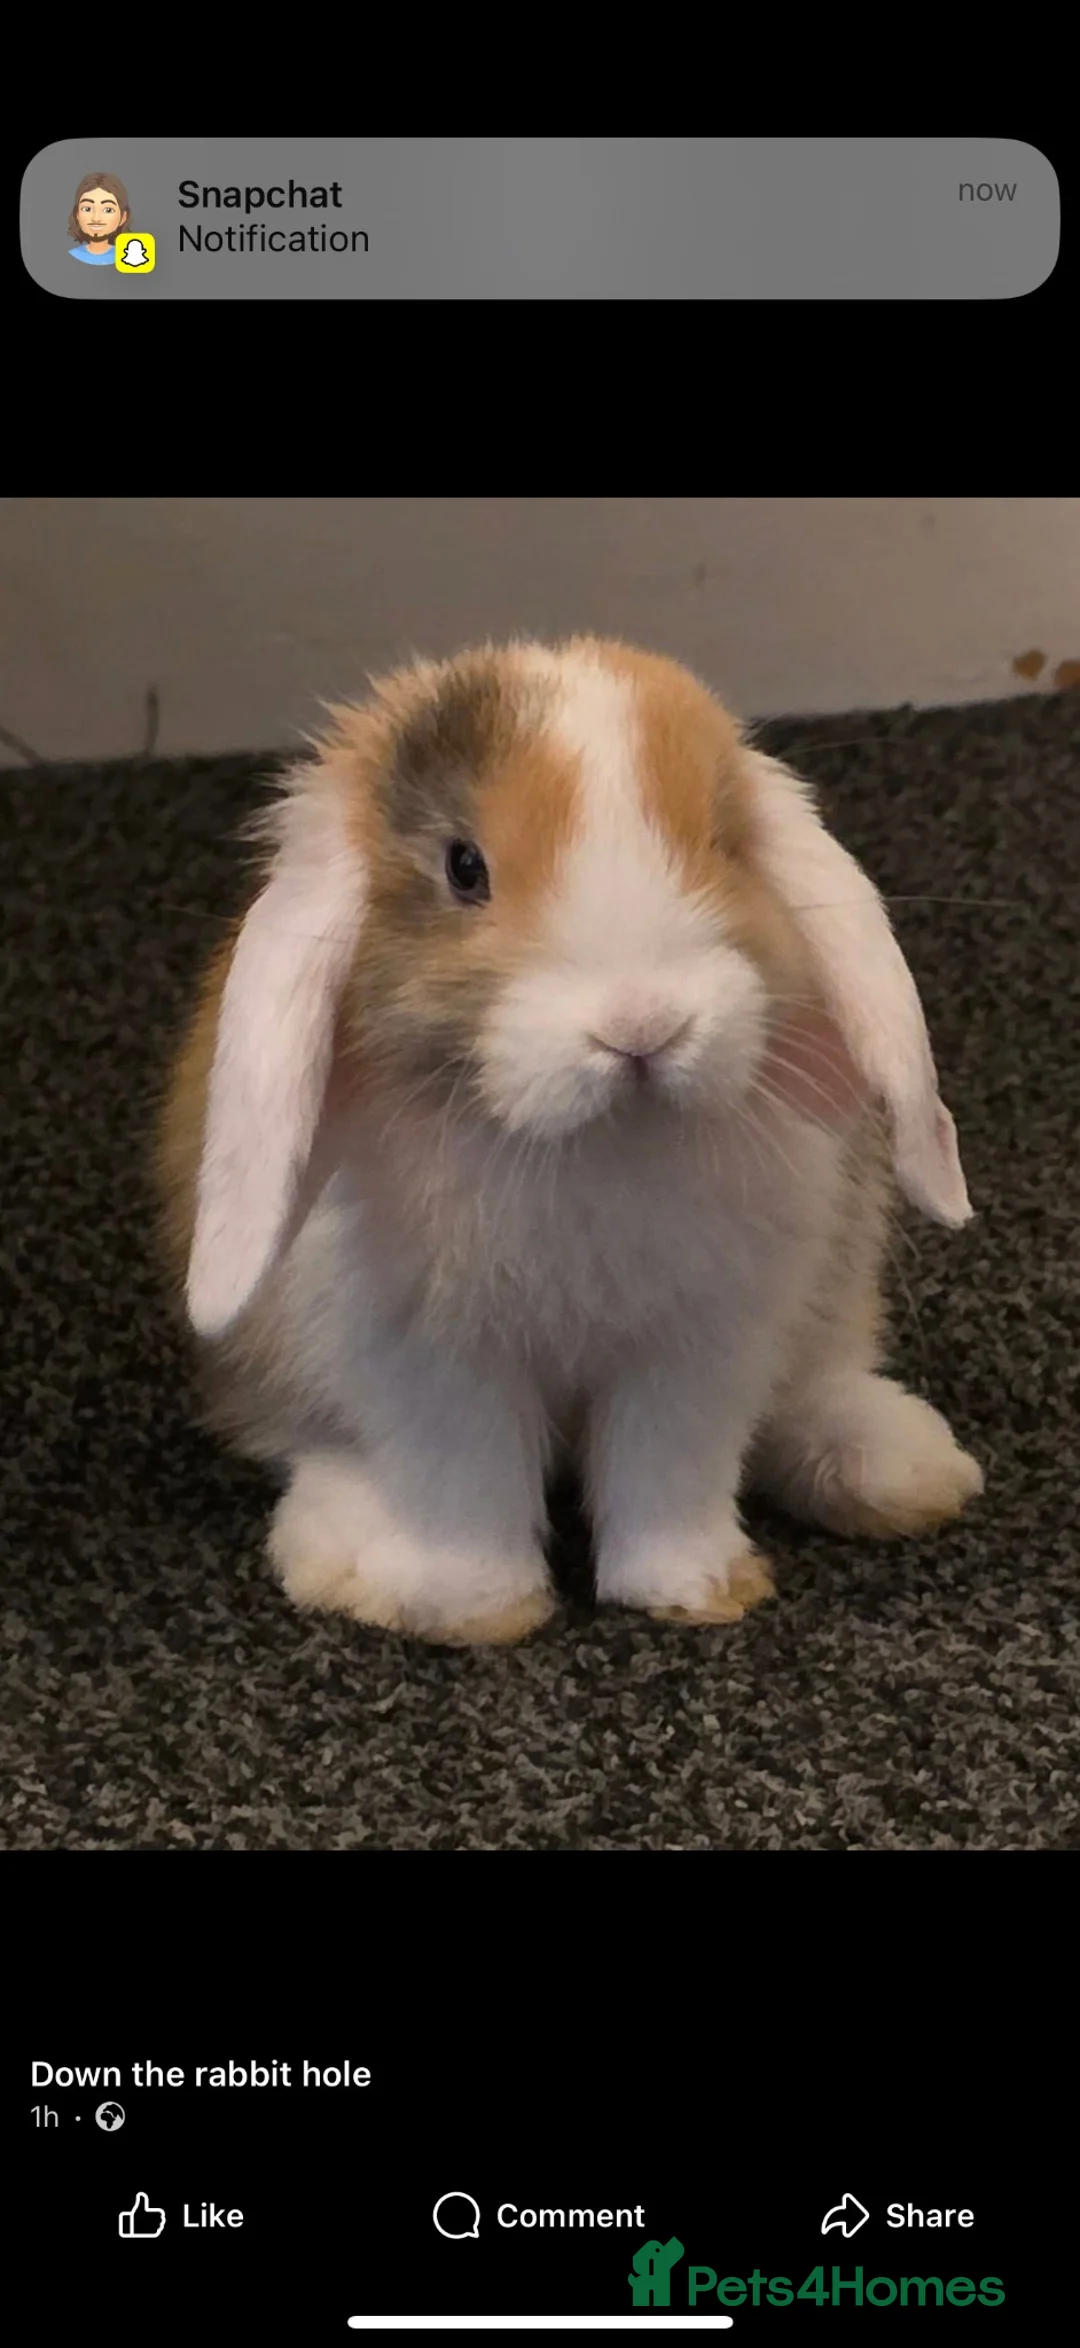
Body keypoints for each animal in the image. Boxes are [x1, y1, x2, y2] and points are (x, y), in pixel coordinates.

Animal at [156, 636, 983, 1645]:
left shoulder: (699, 1345)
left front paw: (694, 1592)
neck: (600, 1141)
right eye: (463, 867)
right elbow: (465, 1480)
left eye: (724, 841)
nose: (644, 1027)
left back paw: (898, 1469)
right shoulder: (431, 1358)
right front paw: (475, 1612)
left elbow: (670, 1469)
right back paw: (345, 1553)